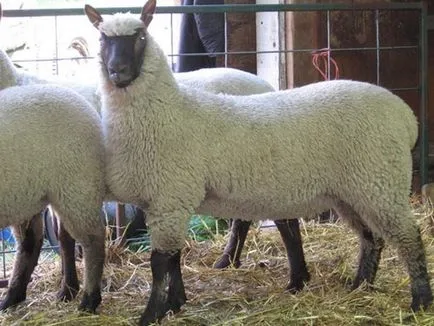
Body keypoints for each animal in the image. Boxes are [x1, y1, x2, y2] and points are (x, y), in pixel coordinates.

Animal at [0, 82, 106, 314]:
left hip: (76, 184)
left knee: (93, 239)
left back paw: (89, 299)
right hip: (29, 193)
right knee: (33, 241)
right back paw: (13, 296)